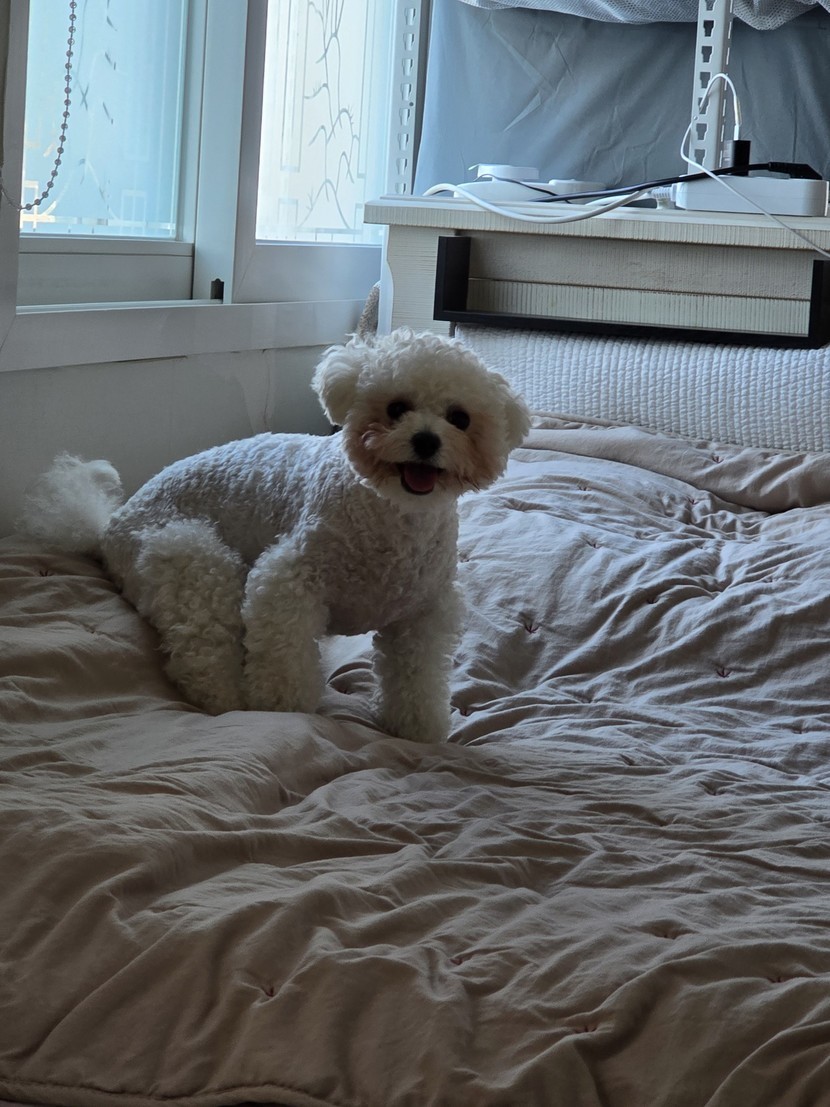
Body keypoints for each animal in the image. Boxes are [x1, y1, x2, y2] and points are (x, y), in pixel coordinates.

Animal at [19, 329, 530, 742]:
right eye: (396, 408)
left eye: (460, 418)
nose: (426, 441)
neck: (391, 512)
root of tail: (109, 525)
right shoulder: (288, 584)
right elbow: (285, 659)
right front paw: (281, 712)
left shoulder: (422, 616)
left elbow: (416, 680)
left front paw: (418, 731)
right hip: (188, 555)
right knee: (201, 648)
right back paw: (227, 701)